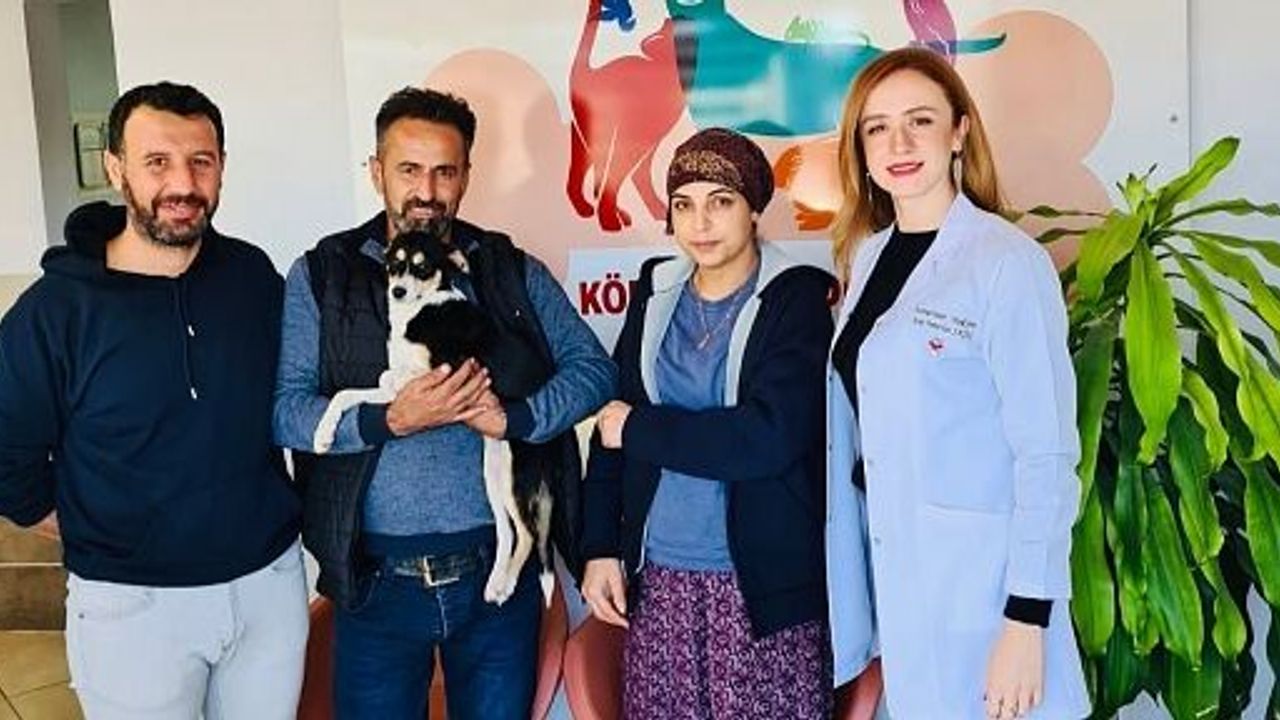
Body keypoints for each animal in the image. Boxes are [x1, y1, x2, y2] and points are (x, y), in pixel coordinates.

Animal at [311, 228, 553, 606]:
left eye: (423, 267)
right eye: (395, 264)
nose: (397, 291)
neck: (421, 307)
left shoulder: (437, 375)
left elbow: (381, 381)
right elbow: (346, 393)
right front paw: (322, 435)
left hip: (517, 473)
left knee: (527, 534)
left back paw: (507, 585)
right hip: (494, 470)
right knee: (507, 531)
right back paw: (495, 584)